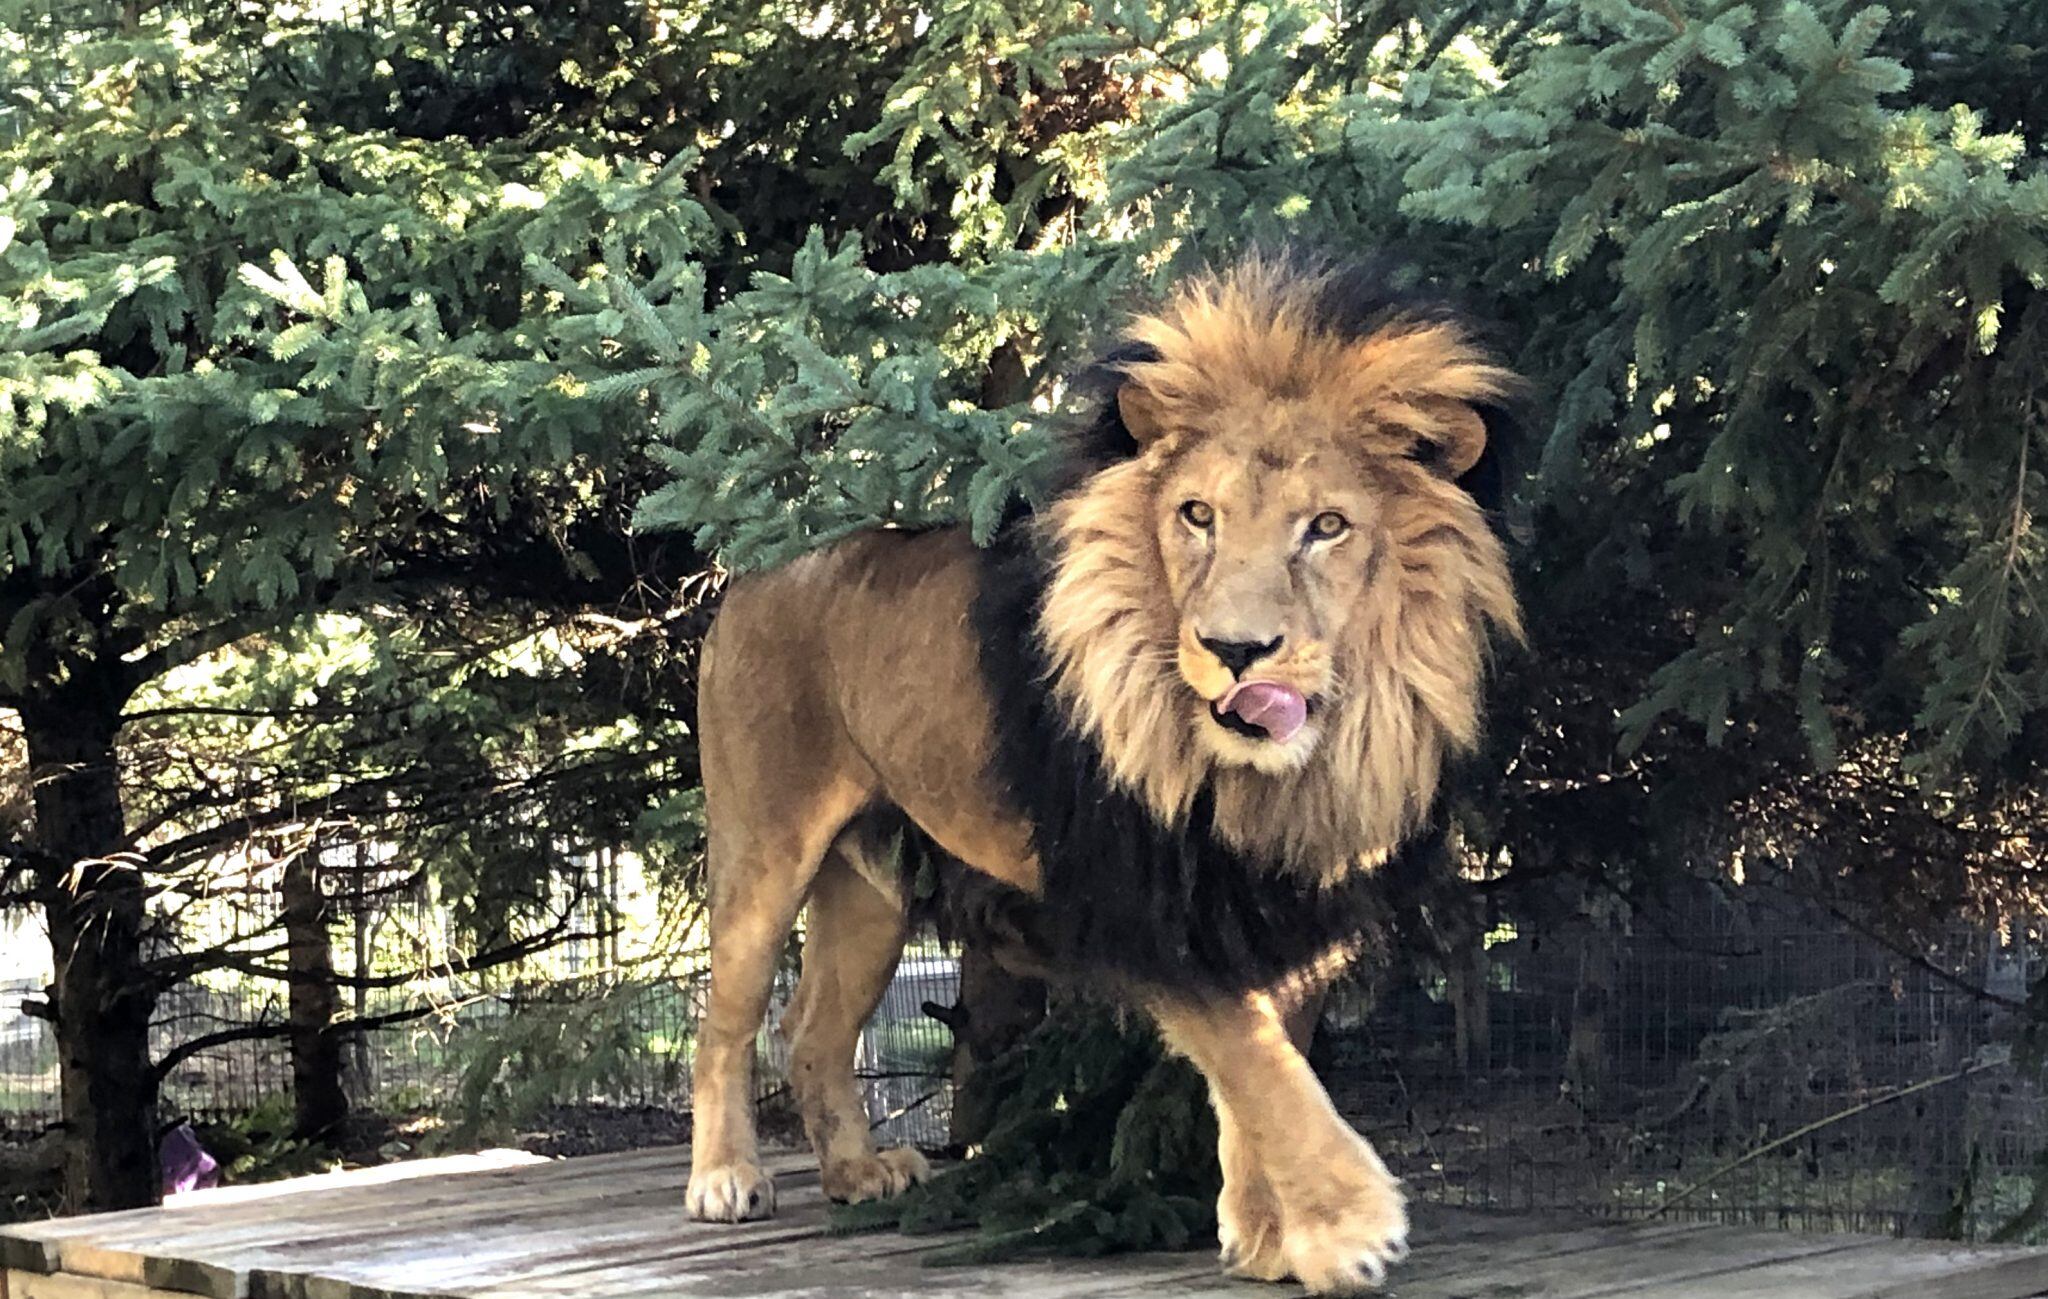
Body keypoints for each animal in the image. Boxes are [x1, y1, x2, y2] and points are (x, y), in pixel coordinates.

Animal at [684, 249, 1523, 1286]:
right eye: (1197, 516)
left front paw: (1263, 1234)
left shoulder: (1280, 898)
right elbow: (1252, 1056)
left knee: (812, 1029)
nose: (1236, 650)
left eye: (1327, 526)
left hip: (872, 889)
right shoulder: (1138, 894)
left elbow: (1268, 1056)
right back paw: (724, 1179)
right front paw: (1348, 1223)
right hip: (764, 844)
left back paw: (855, 1172)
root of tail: (754, 569)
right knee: (723, 1022)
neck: (1278, 775)